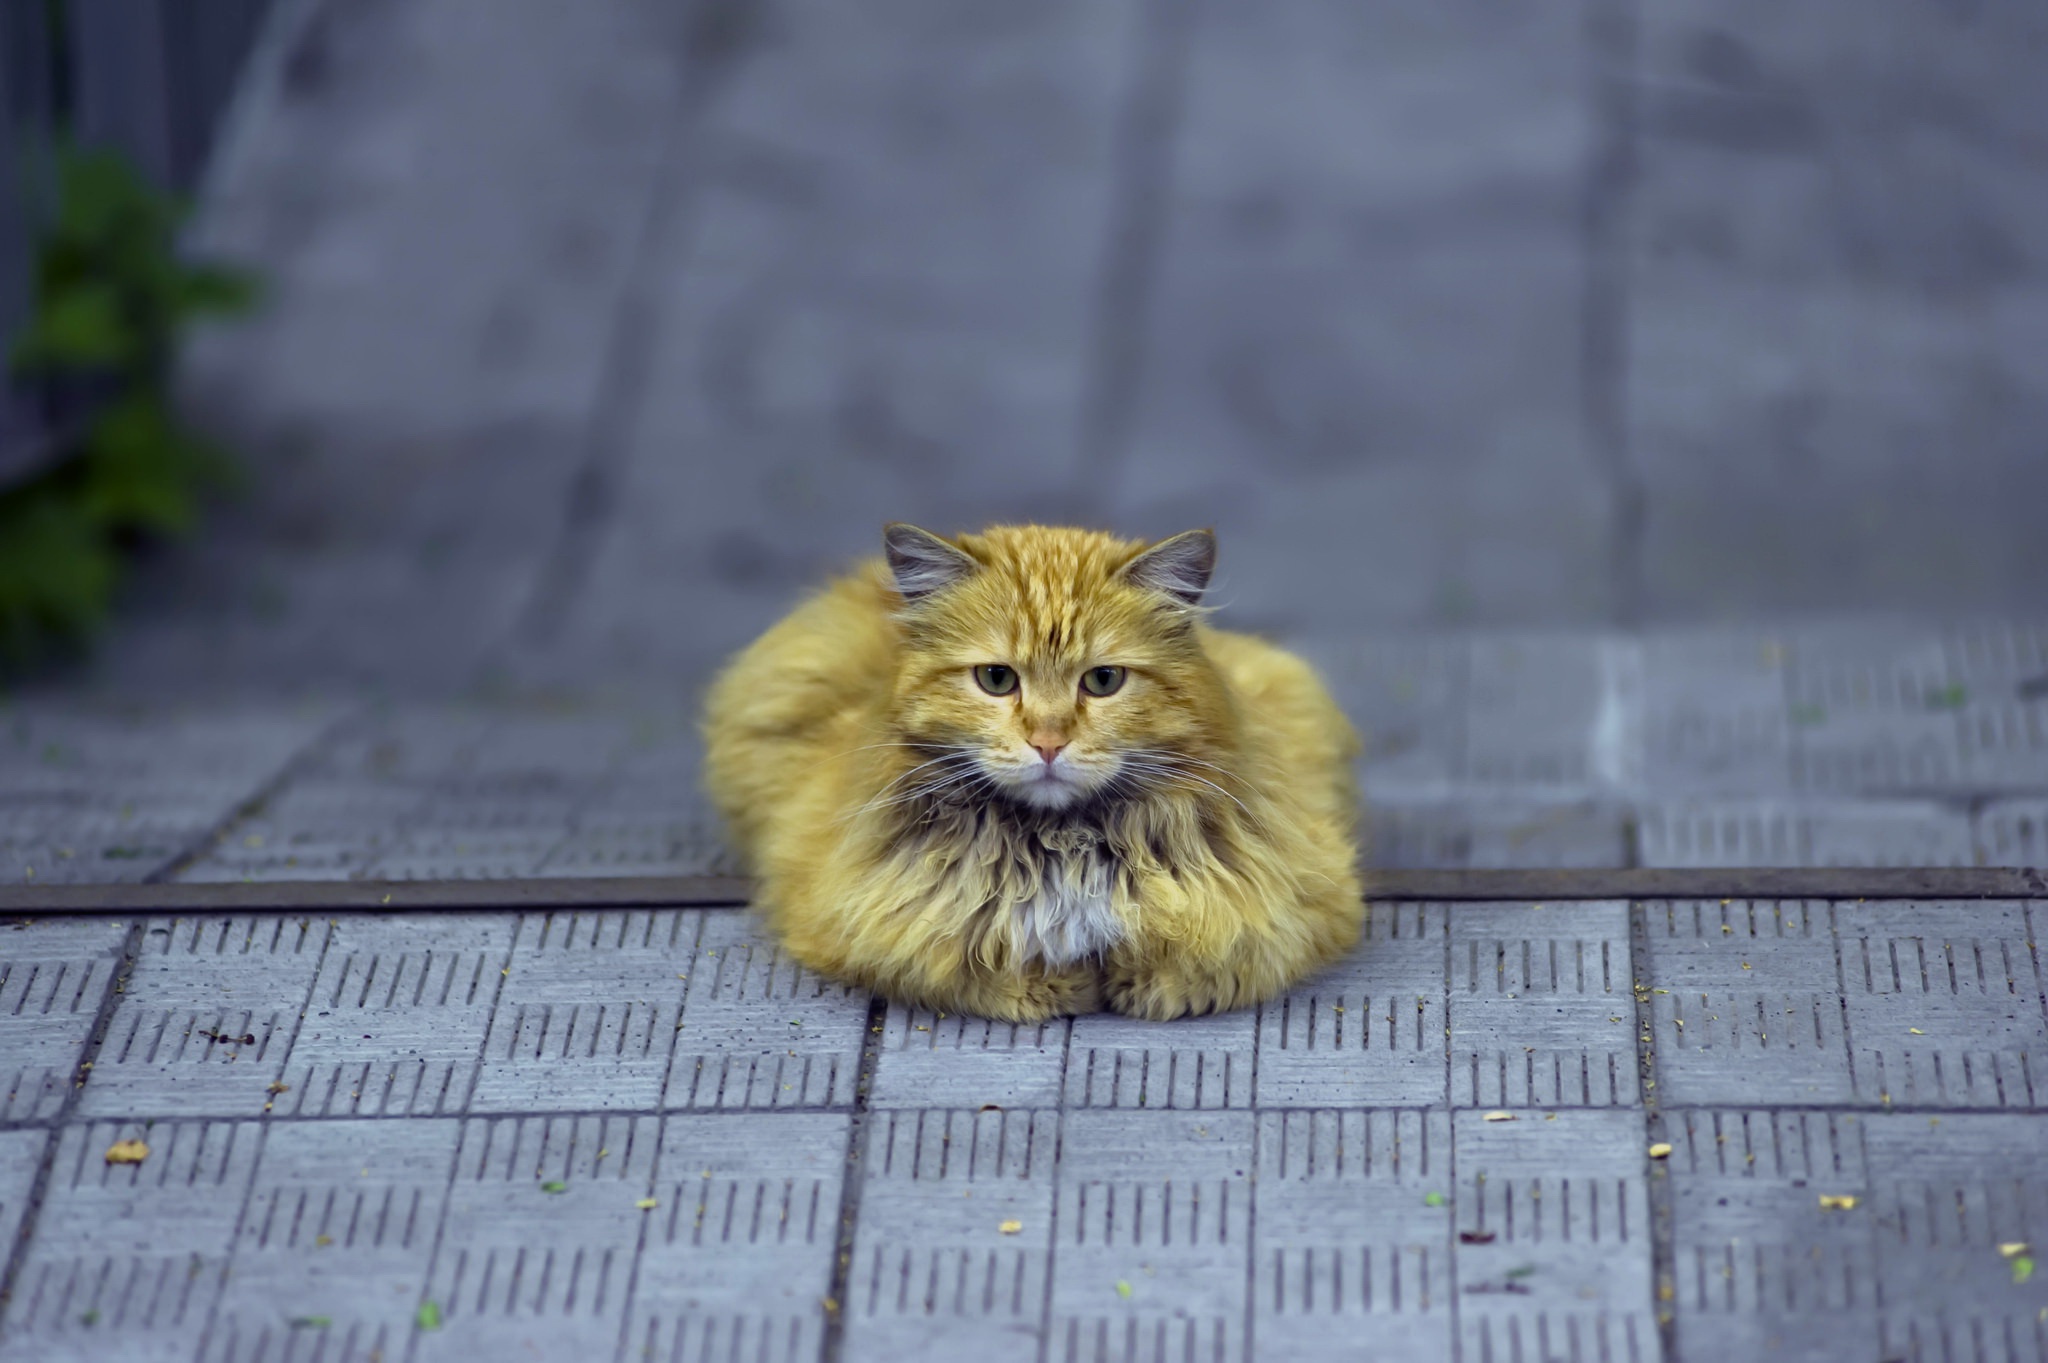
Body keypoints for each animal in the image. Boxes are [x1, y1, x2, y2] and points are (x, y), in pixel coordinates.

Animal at [704, 523, 1359, 1015]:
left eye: (1103, 681)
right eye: (997, 679)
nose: (1048, 742)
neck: (1060, 847)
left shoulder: (1288, 912)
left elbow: (1185, 967)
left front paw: (1132, 982)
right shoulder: (861, 921)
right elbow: (979, 969)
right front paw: (1060, 985)